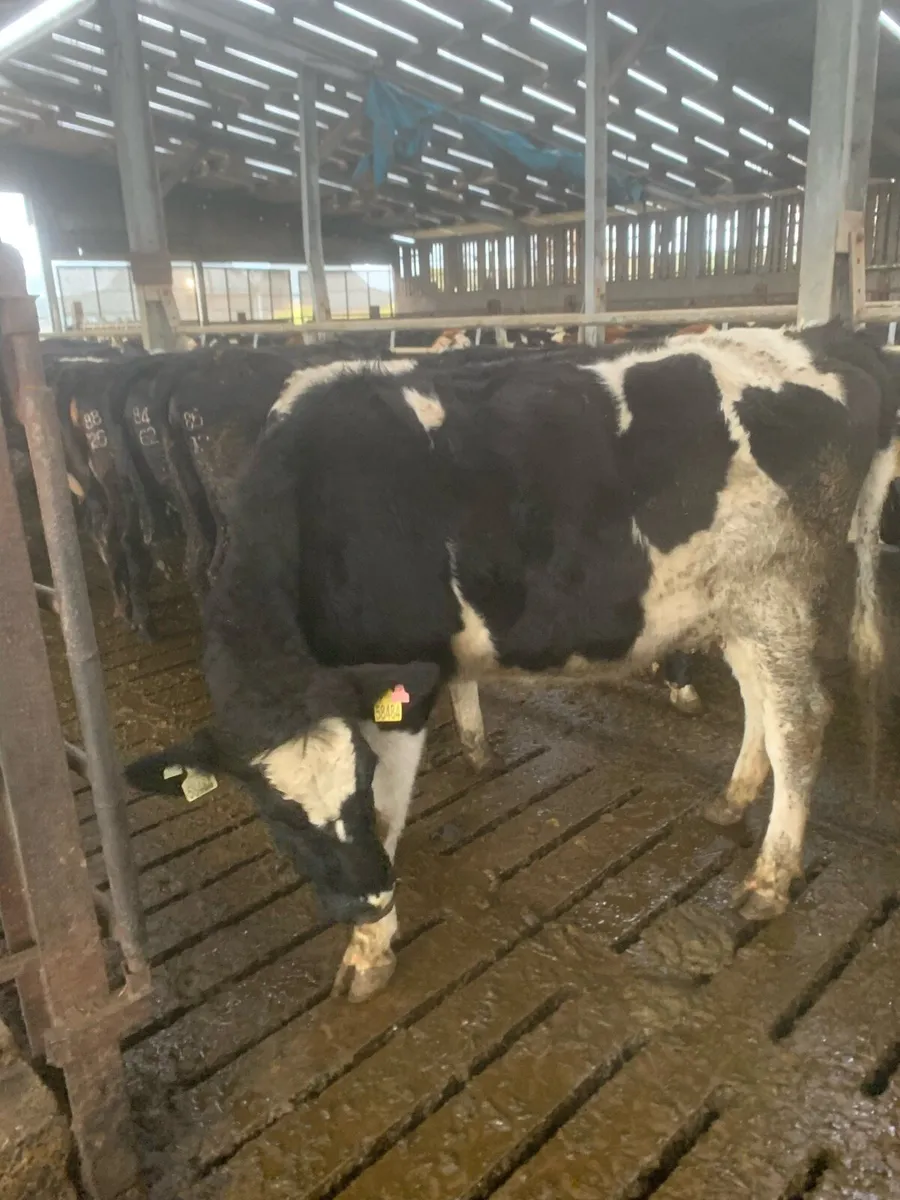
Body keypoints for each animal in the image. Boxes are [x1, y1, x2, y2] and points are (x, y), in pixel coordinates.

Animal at [124, 324, 899, 1004]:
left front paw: (370, 951)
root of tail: (823, 340)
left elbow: (389, 809)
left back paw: (770, 880)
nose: (366, 898)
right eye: (276, 817)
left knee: (800, 722)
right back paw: (734, 798)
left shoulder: (404, 678)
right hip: (736, 603)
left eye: (356, 786)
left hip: (780, 594)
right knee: (761, 703)